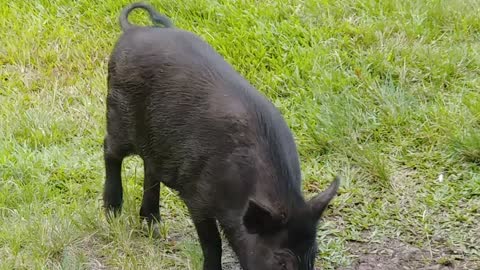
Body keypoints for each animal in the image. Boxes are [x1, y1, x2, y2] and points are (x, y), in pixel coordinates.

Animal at [103, 2, 340, 270]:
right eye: (281, 262)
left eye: (313, 255)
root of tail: (133, 31)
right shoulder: (196, 196)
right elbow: (212, 243)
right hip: (117, 114)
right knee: (110, 150)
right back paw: (112, 214)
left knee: (149, 168)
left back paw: (154, 227)